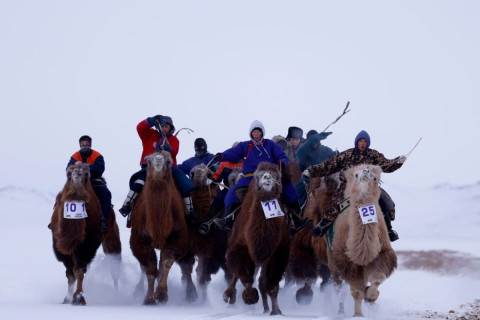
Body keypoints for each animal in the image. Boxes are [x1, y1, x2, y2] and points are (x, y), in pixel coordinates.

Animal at [48, 164, 122, 306]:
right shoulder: (61, 246)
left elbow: (79, 271)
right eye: (69, 173)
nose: (77, 173)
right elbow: (70, 274)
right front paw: (66, 299)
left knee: (114, 266)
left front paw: (78, 298)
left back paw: (117, 294)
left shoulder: (87, 244)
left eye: (87, 173)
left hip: (112, 236)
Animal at [127, 152, 197, 304]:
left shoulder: (178, 237)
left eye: (168, 161)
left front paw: (161, 293)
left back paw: (192, 294)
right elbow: (150, 268)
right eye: (149, 160)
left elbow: (167, 262)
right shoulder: (139, 239)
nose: (159, 159)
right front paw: (148, 299)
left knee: (187, 265)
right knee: (145, 267)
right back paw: (137, 290)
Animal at [223, 162, 290, 316]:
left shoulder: (277, 252)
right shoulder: (240, 247)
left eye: (277, 176)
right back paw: (229, 295)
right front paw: (249, 297)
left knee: (261, 280)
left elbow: (270, 284)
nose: (267, 177)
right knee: (239, 274)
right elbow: (246, 277)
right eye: (257, 176)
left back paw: (266, 309)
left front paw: (276, 312)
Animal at [326, 165, 398, 318]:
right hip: (333, 263)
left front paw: (371, 296)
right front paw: (358, 315)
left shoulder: (383, 253)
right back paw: (340, 312)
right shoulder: (346, 261)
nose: (365, 172)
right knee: (338, 289)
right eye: (356, 175)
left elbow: (377, 278)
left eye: (375, 178)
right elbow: (356, 292)